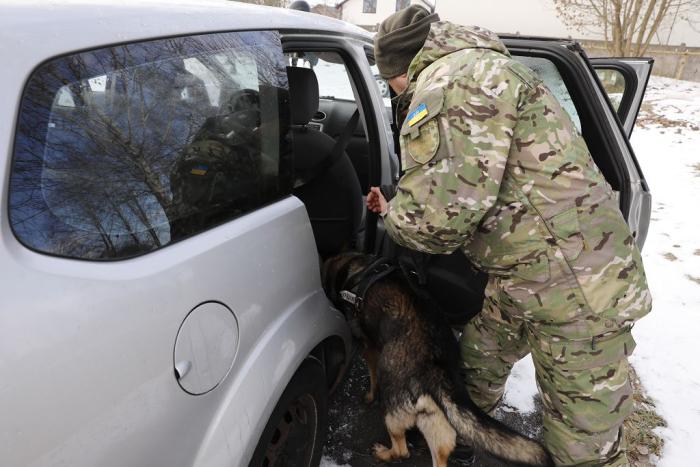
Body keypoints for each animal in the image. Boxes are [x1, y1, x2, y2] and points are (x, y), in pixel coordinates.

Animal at [322, 252, 553, 467]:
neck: (357, 267)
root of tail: (438, 370)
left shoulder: (369, 348)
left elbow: (372, 376)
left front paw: (369, 396)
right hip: (435, 423)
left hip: (393, 410)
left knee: (401, 450)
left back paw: (384, 453)